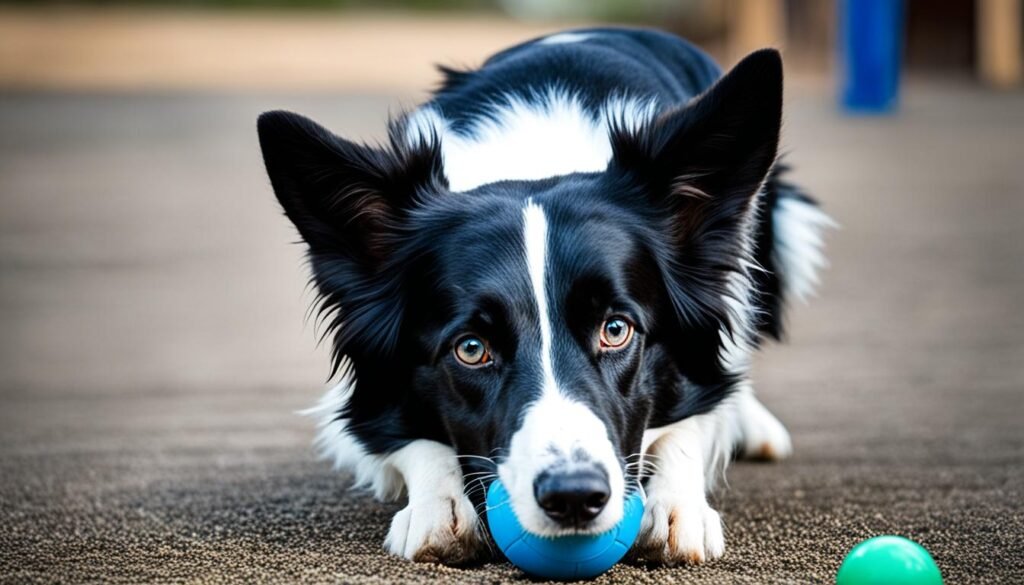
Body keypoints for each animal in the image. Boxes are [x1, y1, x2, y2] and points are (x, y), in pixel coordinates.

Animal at [256, 28, 831, 569]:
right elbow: (402, 438)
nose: (574, 498)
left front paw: (678, 506)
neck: (534, 163)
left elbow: (695, 415)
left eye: (615, 329)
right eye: (471, 348)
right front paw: (438, 505)